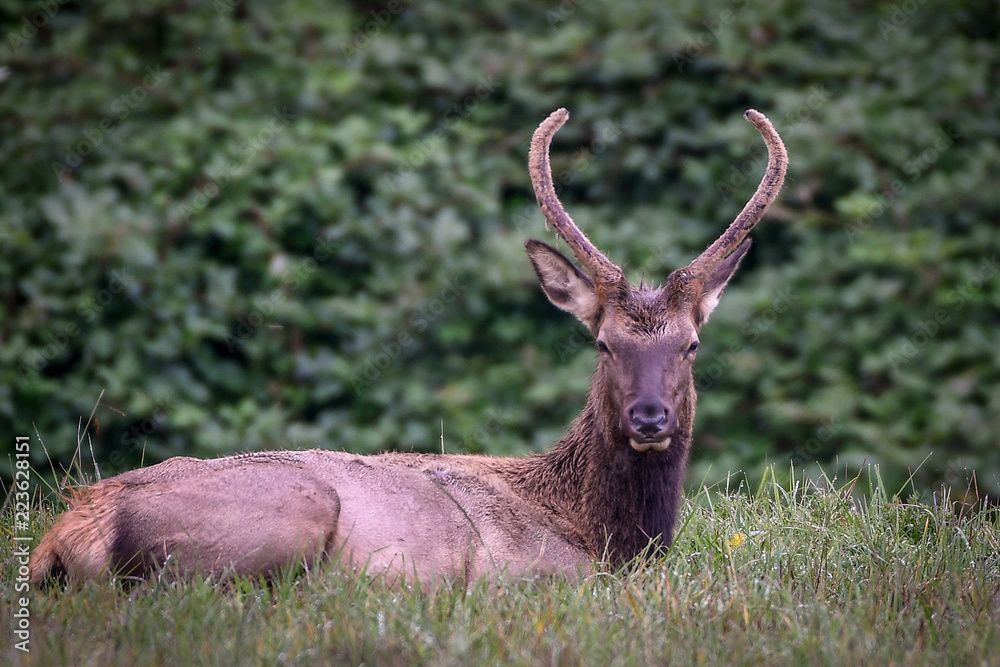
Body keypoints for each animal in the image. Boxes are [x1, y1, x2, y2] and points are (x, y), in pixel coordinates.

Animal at [31, 107, 784, 588]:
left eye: (691, 344)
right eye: (602, 343)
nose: (650, 418)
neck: (599, 535)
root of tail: (68, 531)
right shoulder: (530, 576)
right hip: (290, 512)